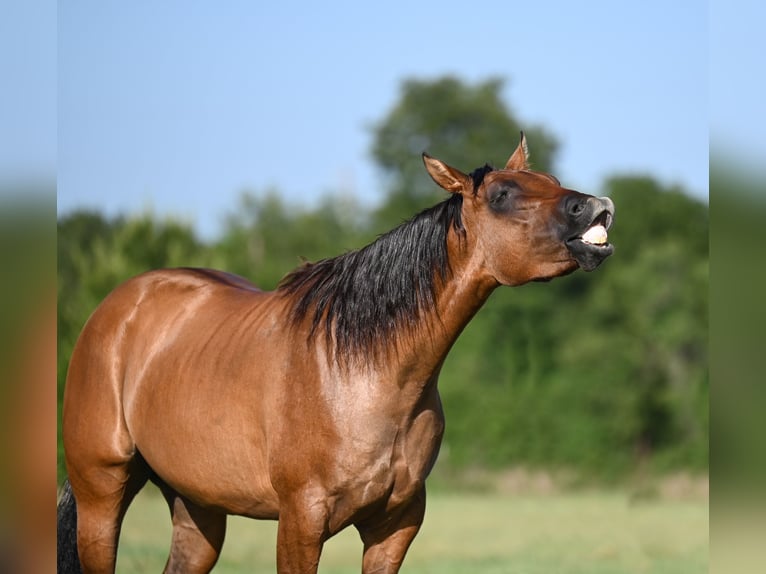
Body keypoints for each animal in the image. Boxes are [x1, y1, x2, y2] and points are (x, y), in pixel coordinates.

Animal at [57, 133, 616, 572]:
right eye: (501, 194)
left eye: (551, 178)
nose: (597, 206)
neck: (364, 373)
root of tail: (118, 307)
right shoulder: (300, 522)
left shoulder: (395, 526)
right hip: (101, 493)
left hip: (197, 507)